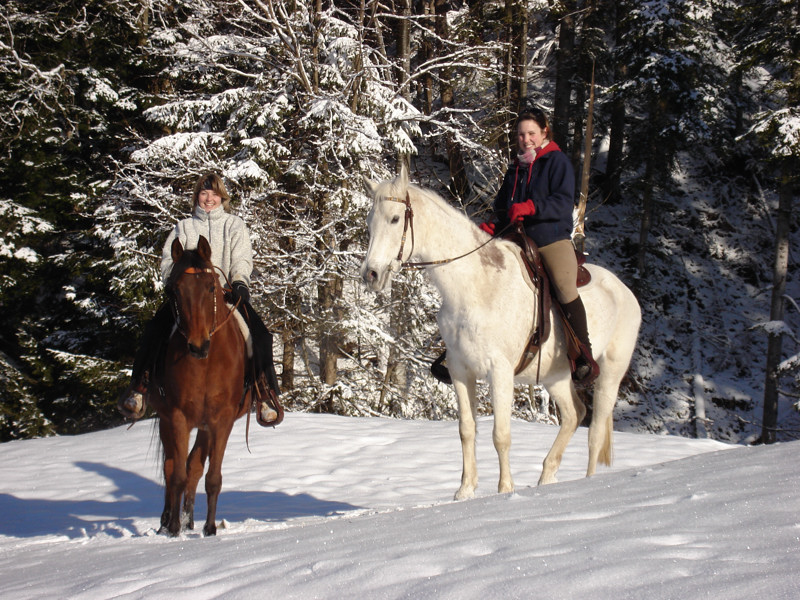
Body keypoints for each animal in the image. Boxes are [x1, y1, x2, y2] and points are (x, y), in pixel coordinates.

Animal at [150, 237, 250, 536]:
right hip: (166, 420)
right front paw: (173, 527)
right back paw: (168, 521)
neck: (206, 364)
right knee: (172, 467)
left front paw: (209, 528)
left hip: (205, 427)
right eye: (174, 290)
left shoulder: (221, 420)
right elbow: (177, 475)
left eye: (210, 287)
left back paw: (189, 519)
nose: (197, 345)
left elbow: (211, 477)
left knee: (194, 465)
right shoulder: (178, 417)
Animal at [360, 166, 640, 500]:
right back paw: (547, 477)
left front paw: (505, 489)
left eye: (394, 219)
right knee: (575, 413)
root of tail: (625, 291)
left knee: (595, 431)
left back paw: (589, 483)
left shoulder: (500, 371)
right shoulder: (461, 371)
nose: (371, 274)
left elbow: (501, 434)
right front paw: (465, 490)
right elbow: (467, 430)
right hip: (555, 376)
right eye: (369, 222)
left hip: (610, 373)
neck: (476, 286)